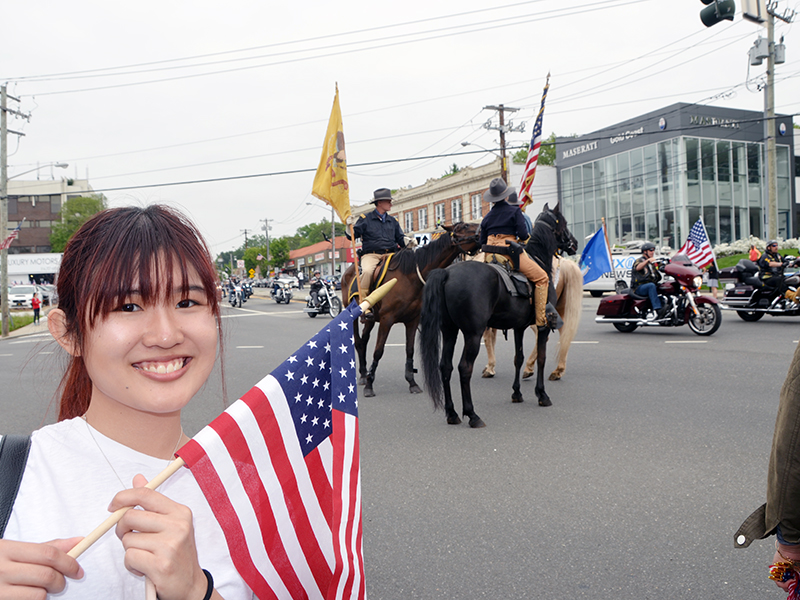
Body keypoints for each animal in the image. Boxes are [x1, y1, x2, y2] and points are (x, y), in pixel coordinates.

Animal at [340, 220, 478, 398]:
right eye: (465, 227)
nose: (482, 229)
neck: (409, 276)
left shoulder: (412, 321)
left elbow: (410, 350)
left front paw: (412, 383)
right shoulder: (386, 320)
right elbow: (378, 351)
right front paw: (370, 385)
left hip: (370, 320)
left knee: (363, 341)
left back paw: (364, 374)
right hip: (353, 316)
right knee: (358, 342)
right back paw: (365, 377)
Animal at [418, 204, 576, 428]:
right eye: (563, 222)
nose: (574, 243)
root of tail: (447, 273)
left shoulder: (519, 327)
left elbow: (518, 358)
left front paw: (517, 393)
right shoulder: (543, 327)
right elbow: (542, 358)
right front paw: (541, 394)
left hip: (449, 331)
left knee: (445, 367)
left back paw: (452, 413)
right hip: (472, 335)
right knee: (464, 368)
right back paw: (472, 415)